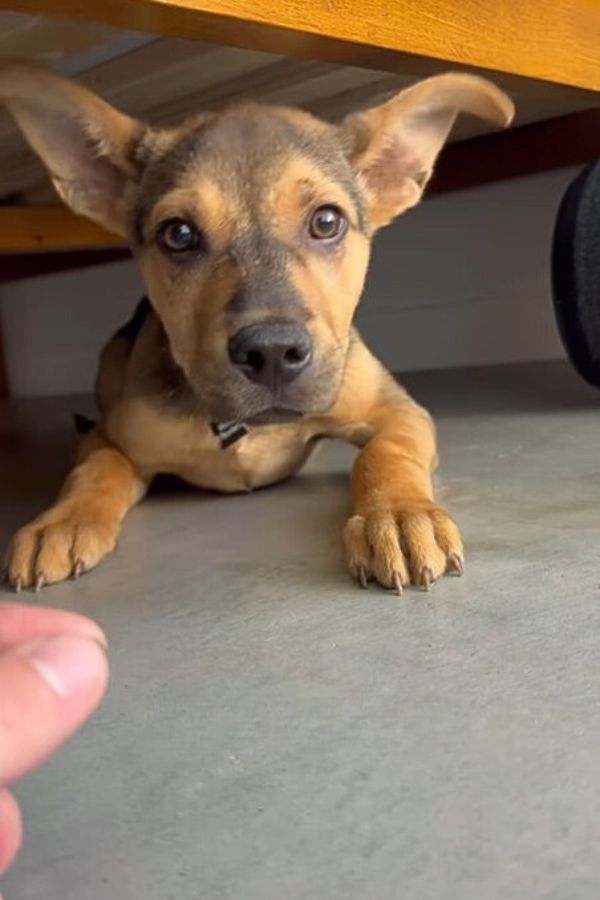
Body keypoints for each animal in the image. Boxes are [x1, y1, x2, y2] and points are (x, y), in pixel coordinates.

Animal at [0, 61, 512, 592]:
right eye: (178, 234)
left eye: (326, 221)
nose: (271, 354)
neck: (244, 425)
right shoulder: (110, 434)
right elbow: (95, 469)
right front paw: (60, 521)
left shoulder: (397, 410)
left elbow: (385, 452)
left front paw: (396, 514)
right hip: (111, 356)